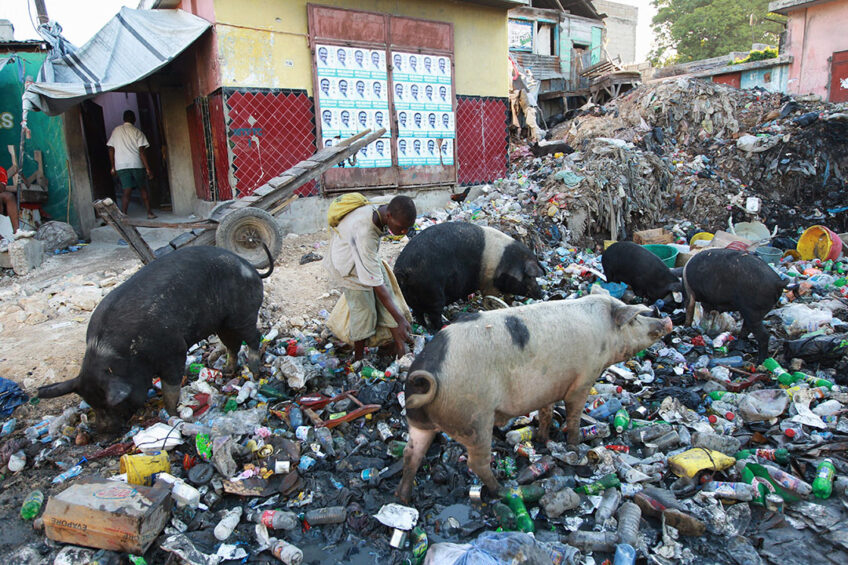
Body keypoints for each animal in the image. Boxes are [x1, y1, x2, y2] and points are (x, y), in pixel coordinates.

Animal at [37, 245, 272, 430]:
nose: (103, 432)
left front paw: (174, 416)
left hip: (243, 314)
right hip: (222, 323)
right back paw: (226, 371)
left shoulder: (174, 350)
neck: (122, 358)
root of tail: (252, 268)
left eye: (111, 404)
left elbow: (171, 389)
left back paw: (254, 370)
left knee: (254, 337)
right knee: (232, 344)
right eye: (92, 403)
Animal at [396, 221, 548, 330]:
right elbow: (491, 296)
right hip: (433, 293)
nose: (541, 294)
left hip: (413, 299)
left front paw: (511, 302)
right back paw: (443, 326)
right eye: (531, 277)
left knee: (418, 314)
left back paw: (424, 326)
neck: (506, 263)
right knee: (434, 315)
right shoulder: (488, 283)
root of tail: (402, 272)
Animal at [396, 294, 668, 500]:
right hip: (474, 419)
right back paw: (502, 490)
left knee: (411, 454)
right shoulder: (584, 378)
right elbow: (574, 413)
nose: (665, 320)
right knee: (476, 463)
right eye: (635, 319)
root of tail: (430, 375)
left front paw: (543, 439)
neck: (605, 334)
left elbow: (546, 412)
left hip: (420, 424)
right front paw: (575, 447)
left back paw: (404, 498)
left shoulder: (549, 388)